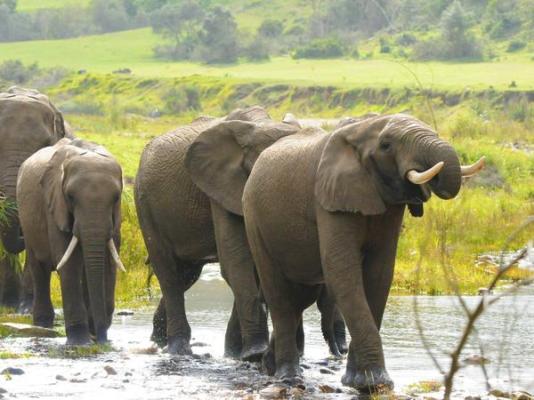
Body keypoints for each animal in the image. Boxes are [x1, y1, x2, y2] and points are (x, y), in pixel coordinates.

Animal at [17, 138, 124, 344]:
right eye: (70, 197)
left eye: (116, 197)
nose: (101, 339)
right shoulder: (54, 205)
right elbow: (70, 262)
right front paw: (80, 341)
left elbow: (108, 262)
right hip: (27, 221)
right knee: (39, 268)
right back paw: (43, 324)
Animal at [135, 105, 348, 360]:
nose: (341, 351)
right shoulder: (221, 185)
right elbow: (236, 258)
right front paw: (255, 353)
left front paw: (238, 353)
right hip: (145, 204)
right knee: (169, 275)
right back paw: (179, 350)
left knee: (186, 275)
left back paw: (158, 342)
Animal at [243, 112, 486, 390]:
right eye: (386, 145)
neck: (362, 129)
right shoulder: (330, 197)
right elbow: (342, 271)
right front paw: (376, 383)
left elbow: (380, 274)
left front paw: (360, 382)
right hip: (254, 219)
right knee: (280, 295)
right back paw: (289, 377)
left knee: (299, 298)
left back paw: (269, 367)